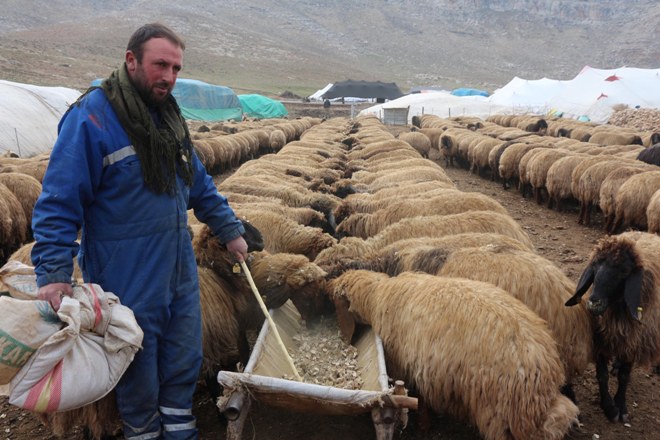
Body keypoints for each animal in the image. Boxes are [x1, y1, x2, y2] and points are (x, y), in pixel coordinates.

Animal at [328, 268, 576, 440]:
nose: (341, 335)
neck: (377, 297)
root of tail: (543, 369)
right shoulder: (420, 364)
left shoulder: (405, 362)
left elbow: (419, 398)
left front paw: (423, 425)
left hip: (498, 411)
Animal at [564, 230, 660, 422]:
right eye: (595, 265)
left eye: (625, 271)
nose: (594, 303)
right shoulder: (600, 340)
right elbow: (602, 376)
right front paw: (608, 406)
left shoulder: (633, 341)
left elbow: (624, 376)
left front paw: (620, 406)